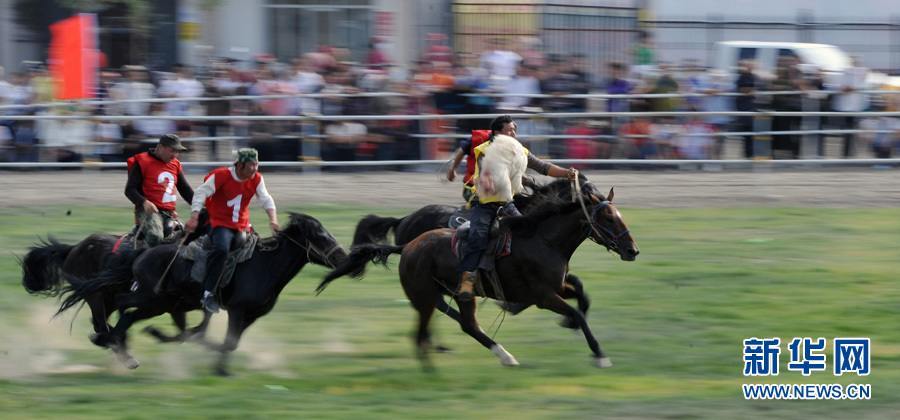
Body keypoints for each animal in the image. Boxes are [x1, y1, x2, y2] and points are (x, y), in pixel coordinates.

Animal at [56, 213, 344, 374]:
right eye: (320, 235)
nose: (343, 257)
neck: (265, 265)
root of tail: (141, 254)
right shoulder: (236, 310)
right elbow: (221, 339)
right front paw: (220, 369)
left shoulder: (249, 315)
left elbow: (222, 340)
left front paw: (218, 365)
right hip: (150, 299)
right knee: (119, 308)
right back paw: (117, 344)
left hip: (158, 304)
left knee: (125, 315)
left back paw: (126, 345)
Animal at [320, 182, 636, 370]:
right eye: (608, 218)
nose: (633, 250)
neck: (541, 239)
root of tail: (407, 244)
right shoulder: (543, 296)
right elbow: (579, 312)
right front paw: (599, 354)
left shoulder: (556, 288)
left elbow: (581, 294)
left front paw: (570, 325)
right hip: (432, 294)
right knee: (444, 320)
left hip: (459, 294)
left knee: (465, 323)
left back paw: (496, 354)